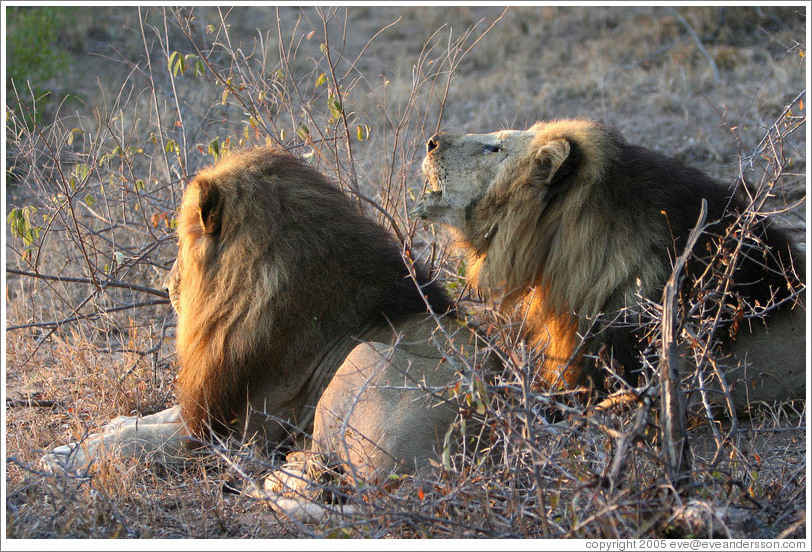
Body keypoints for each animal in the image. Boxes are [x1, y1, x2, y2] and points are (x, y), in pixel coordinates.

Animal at [44, 147, 494, 509]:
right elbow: (147, 419)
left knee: (321, 477)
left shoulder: (232, 432)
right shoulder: (214, 400)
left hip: (363, 362)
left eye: (182, 247)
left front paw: (68, 457)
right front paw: (89, 436)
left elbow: (141, 441)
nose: (166, 286)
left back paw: (278, 475)